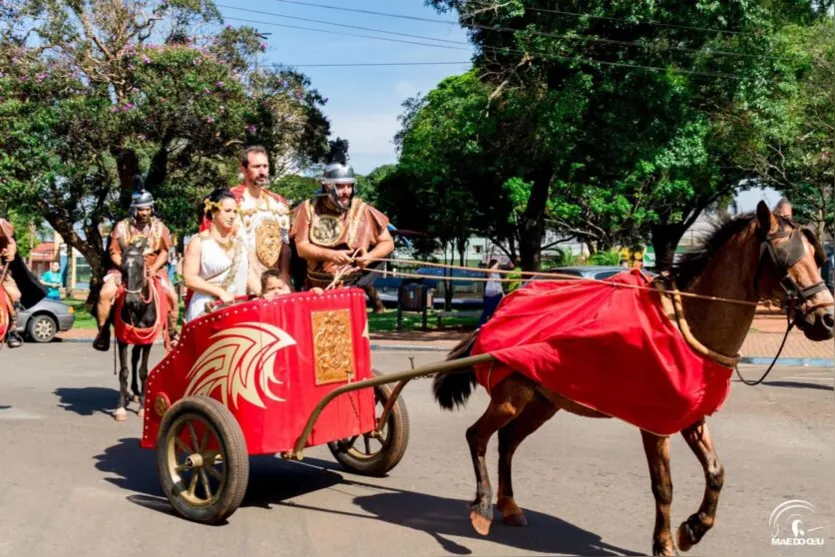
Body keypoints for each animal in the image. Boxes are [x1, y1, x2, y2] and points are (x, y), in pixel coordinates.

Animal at [434, 201, 832, 556]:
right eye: (785, 258)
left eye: (816, 258)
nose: (826, 320)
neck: (684, 322)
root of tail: (499, 312)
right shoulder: (654, 425)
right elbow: (664, 486)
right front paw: (665, 543)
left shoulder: (691, 416)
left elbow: (717, 472)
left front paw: (694, 528)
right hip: (511, 396)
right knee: (478, 436)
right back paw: (483, 506)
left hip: (543, 401)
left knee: (508, 441)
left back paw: (510, 506)